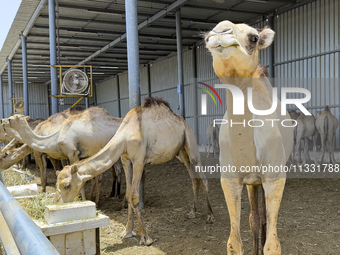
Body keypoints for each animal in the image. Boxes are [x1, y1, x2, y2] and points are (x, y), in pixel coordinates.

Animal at [55, 97, 215, 245]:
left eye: (67, 185)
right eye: (58, 185)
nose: (60, 203)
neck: (125, 136)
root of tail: (183, 122)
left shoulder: (139, 160)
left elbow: (134, 196)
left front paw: (145, 236)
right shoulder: (125, 159)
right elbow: (127, 193)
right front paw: (127, 231)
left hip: (190, 141)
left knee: (203, 178)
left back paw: (210, 216)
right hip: (181, 153)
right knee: (194, 179)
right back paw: (192, 212)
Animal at [205, 20, 294, 254]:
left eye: (254, 38)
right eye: (207, 37)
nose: (221, 31)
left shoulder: (274, 177)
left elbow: (273, 244)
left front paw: (266, 245)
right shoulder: (230, 179)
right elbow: (234, 242)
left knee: (262, 217)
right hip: (252, 182)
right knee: (255, 218)